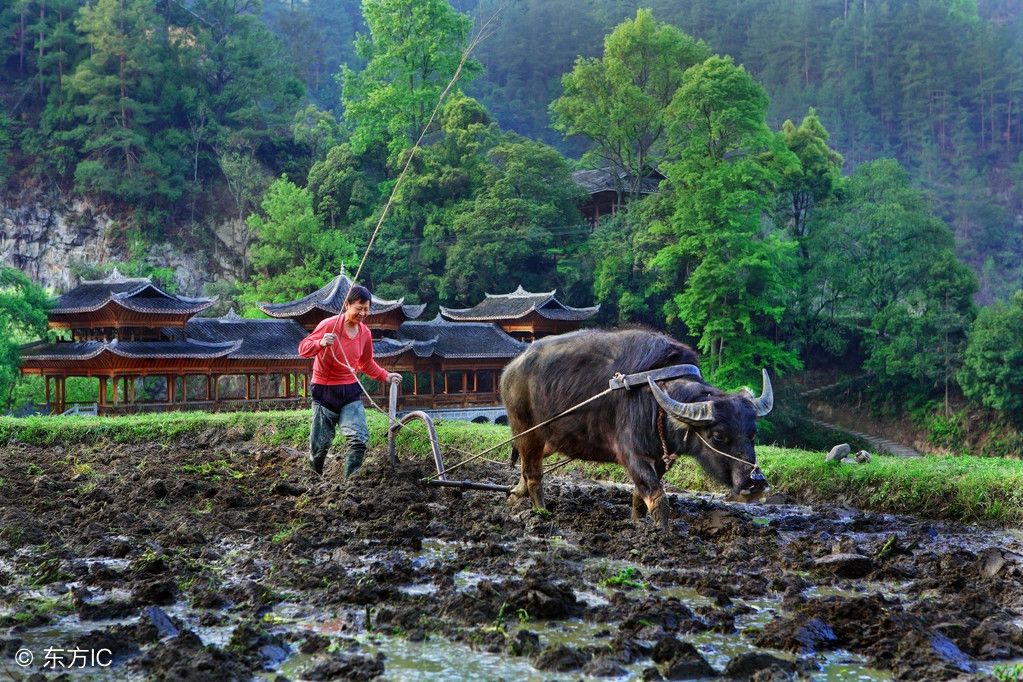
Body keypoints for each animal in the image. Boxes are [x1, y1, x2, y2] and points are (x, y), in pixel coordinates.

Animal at [499, 327, 769, 531]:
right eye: (718, 436)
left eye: (753, 433)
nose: (755, 482)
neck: (657, 401)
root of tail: (511, 368)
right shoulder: (633, 455)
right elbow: (657, 496)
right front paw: (663, 532)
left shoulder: (660, 459)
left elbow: (641, 495)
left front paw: (637, 523)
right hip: (528, 430)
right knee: (533, 471)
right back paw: (540, 512)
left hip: (552, 439)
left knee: (525, 464)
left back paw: (515, 495)